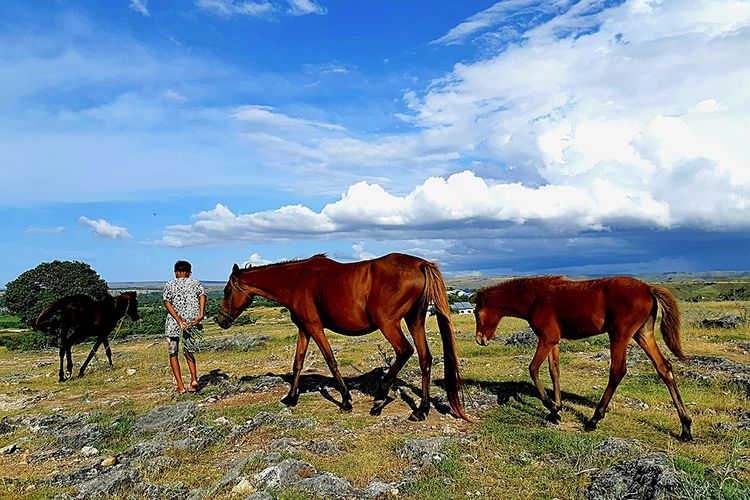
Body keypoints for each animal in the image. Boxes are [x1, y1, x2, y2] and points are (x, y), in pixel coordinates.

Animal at [214, 252, 468, 420]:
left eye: (227, 291)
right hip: (415, 319)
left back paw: (379, 399)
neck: (295, 280)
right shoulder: (304, 329)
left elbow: (331, 361)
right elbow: (298, 363)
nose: (221, 320)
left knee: (404, 351)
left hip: (389, 324)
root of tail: (419, 263)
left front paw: (346, 399)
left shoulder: (315, 327)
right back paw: (421, 410)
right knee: (425, 358)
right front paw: (291, 397)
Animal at [472, 274, 696, 442]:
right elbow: (554, 371)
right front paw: (557, 409)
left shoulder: (547, 338)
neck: (535, 298)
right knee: (664, 368)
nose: (479, 339)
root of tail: (648, 288)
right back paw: (685, 427)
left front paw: (551, 407)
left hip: (619, 335)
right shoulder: (552, 340)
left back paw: (594, 419)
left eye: (476, 313)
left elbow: (533, 369)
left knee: (617, 371)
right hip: (643, 334)